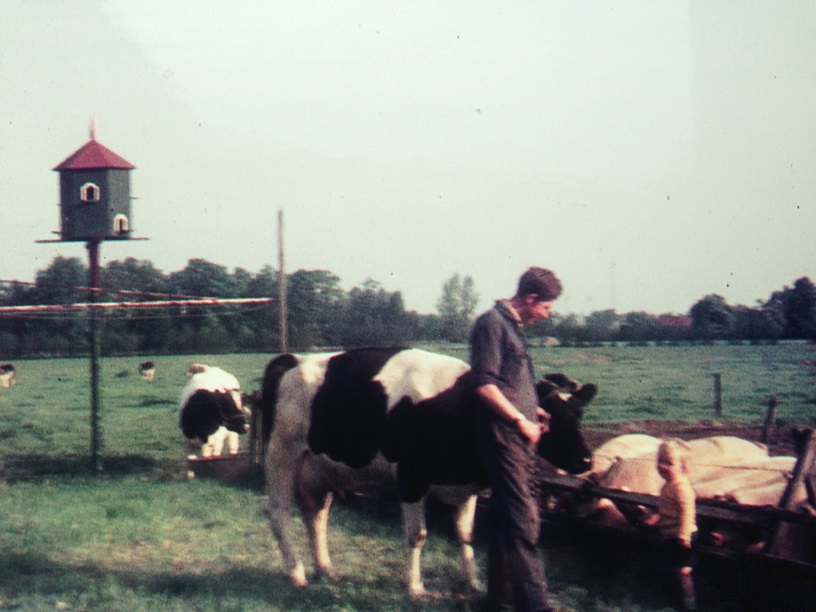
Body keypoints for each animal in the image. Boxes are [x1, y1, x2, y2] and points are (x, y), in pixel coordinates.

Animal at [258, 346, 596, 596]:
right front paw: (415, 587)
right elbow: (417, 535)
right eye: (546, 416)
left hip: (319, 470)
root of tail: (291, 359)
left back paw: (325, 568)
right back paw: (297, 574)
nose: (586, 461)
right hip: (281, 457)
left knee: (316, 515)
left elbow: (465, 534)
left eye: (578, 412)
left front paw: (472, 582)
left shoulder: (465, 487)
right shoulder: (411, 477)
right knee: (279, 514)